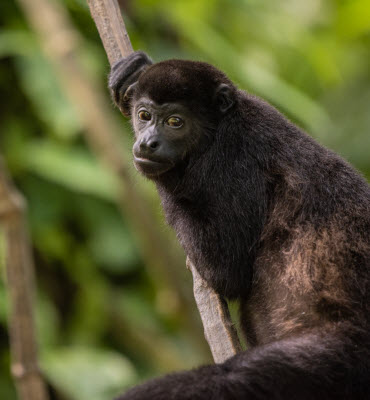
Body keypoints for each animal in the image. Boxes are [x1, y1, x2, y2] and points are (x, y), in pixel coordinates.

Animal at [109, 51, 370, 398]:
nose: (147, 143)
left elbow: (227, 269)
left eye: (175, 122)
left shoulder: (234, 162)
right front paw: (132, 73)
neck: (219, 128)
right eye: (144, 115)